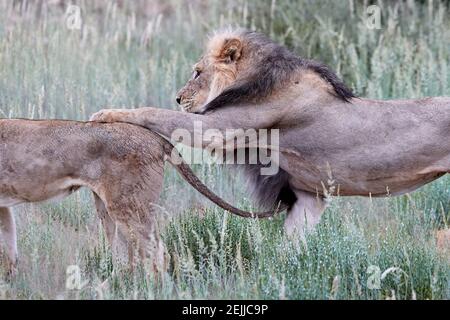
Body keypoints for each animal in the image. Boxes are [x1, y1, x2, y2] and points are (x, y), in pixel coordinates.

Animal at [0, 117, 274, 276]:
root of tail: (154, 137)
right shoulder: (3, 206)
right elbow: (9, 248)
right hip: (108, 209)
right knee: (125, 258)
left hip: (128, 207)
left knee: (157, 256)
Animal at [91, 29, 450, 240]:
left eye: (197, 72)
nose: (178, 98)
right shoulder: (308, 195)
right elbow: (292, 246)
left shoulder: (219, 128)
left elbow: (156, 114)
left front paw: (106, 113)